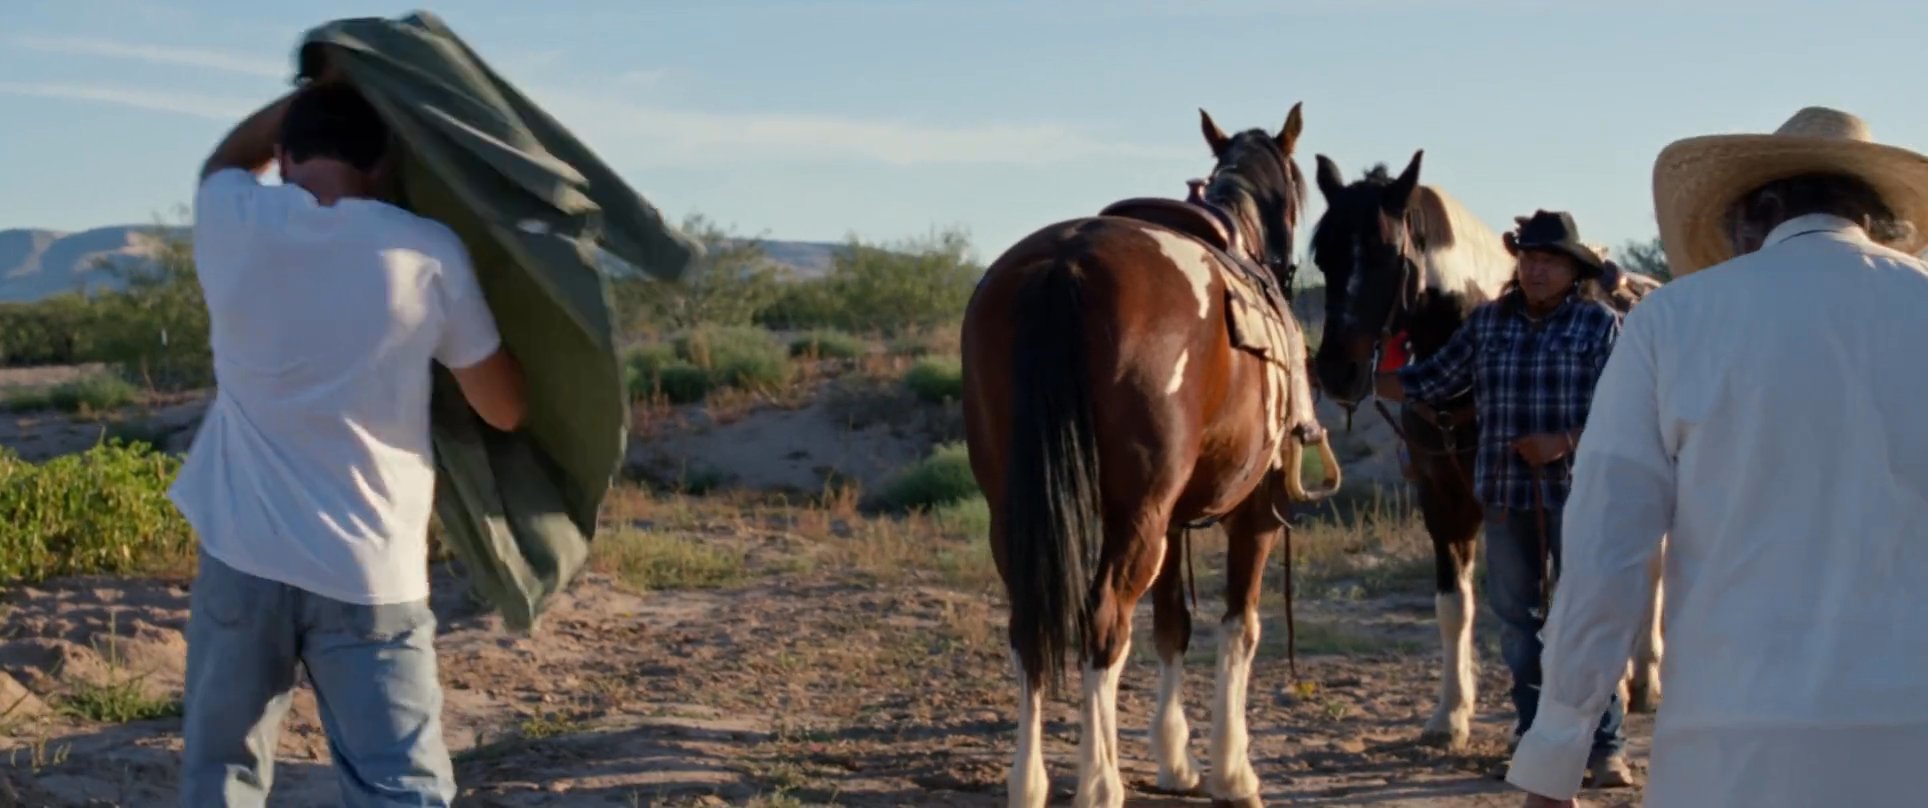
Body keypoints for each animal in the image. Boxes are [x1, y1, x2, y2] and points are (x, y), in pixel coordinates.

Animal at [962, 103, 1341, 808]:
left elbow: (1172, 625)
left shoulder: (1173, 520)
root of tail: (1067, 262)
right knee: (1105, 622)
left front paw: (1176, 759)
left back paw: (1028, 781)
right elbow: (1238, 627)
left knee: (1030, 626)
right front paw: (1232, 771)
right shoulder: (1253, 514)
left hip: (1019, 509)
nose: (1289, 272)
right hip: (1137, 511)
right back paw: (1099, 782)